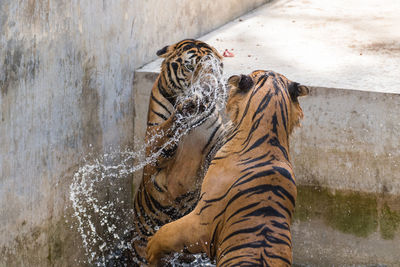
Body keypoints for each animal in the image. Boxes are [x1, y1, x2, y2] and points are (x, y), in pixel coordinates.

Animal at [130, 39, 227, 266]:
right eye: (190, 67)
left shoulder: (215, 140)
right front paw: (185, 107)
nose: (208, 88)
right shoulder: (152, 142)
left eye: (214, 68)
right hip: (141, 248)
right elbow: (168, 130)